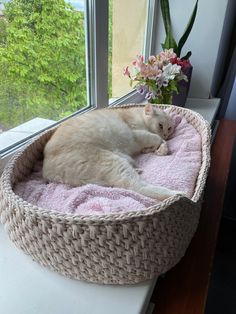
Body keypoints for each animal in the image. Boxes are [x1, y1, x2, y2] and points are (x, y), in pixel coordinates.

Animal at [42, 104, 181, 200]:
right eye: (160, 125)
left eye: (170, 128)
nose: (166, 134)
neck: (139, 116)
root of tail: (46, 171)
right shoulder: (138, 134)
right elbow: (158, 139)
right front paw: (161, 148)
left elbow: (159, 143)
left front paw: (155, 149)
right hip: (114, 163)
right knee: (137, 186)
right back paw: (177, 194)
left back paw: (138, 168)